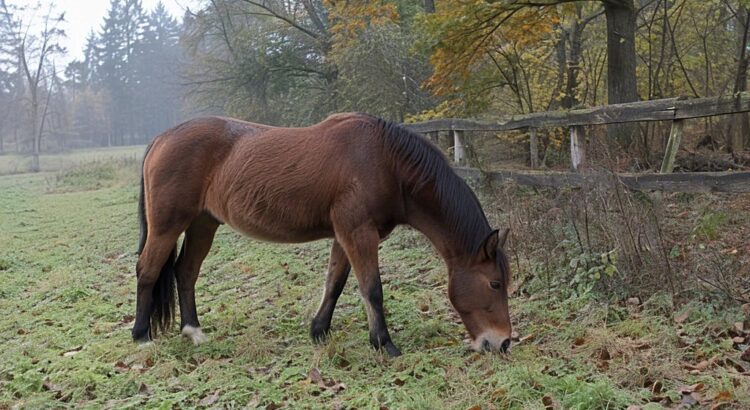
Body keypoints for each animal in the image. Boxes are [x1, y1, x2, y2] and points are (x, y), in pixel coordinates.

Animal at [133, 113, 512, 357]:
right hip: (167, 226)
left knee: (186, 272)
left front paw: (319, 331)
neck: (386, 162)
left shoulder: (345, 235)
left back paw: (193, 331)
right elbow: (372, 289)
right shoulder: (359, 233)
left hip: (203, 224)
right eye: (495, 284)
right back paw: (141, 336)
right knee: (147, 271)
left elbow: (335, 283)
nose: (503, 342)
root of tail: (160, 139)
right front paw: (384, 344)